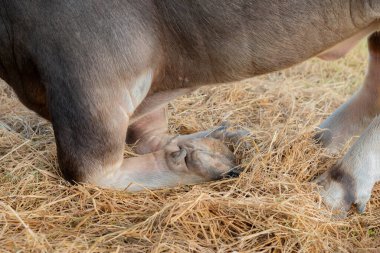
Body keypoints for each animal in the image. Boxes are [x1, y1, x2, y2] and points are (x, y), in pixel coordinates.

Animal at [0, 0, 378, 213]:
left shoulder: (82, 63)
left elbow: (88, 170)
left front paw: (202, 160)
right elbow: (146, 133)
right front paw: (216, 141)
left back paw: (338, 185)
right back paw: (315, 141)